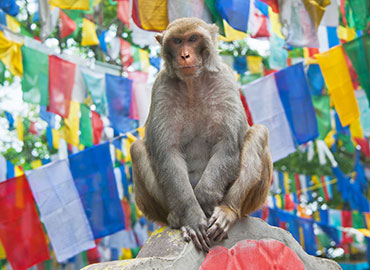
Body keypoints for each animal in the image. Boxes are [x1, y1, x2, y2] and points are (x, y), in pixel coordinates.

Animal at [130, 17, 272, 252]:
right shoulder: (161, 88)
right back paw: (177, 218)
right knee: (137, 149)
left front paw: (204, 200)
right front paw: (193, 217)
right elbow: (168, 154)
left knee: (259, 133)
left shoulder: (225, 80)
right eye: (177, 41)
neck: (193, 84)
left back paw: (227, 211)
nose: (185, 55)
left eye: (193, 38)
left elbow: (227, 145)